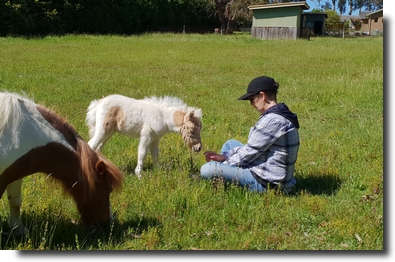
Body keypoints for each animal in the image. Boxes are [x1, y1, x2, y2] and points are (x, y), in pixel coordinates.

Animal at [0, 91, 123, 235]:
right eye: (107, 189)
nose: (107, 223)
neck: (19, 134)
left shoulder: (13, 174)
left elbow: (15, 201)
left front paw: (18, 228)